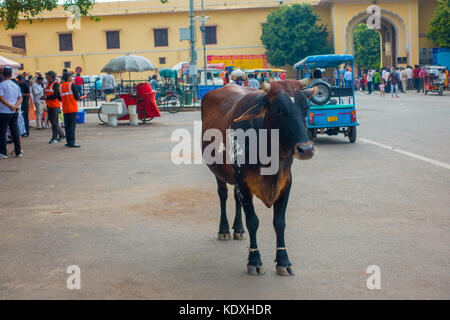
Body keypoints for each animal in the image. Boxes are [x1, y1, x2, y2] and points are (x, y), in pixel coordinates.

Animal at [200, 84, 316, 276]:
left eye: (306, 109)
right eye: (279, 110)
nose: (306, 149)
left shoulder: (286, 183)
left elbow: (279, 223)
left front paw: (283, 260)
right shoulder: (243, 183)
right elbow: (253, 222)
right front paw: (254, 260)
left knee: (235, 198)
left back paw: (238, 229)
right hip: (220, 173)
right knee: (223, 195)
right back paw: (224, 229)